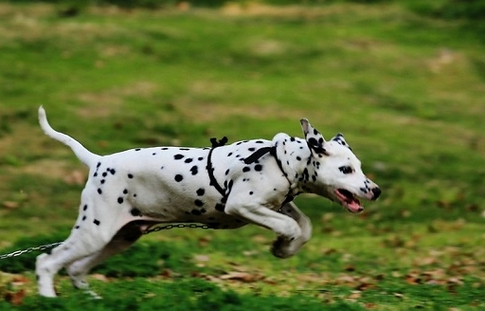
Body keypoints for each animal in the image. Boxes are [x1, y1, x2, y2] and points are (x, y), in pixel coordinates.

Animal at [36, 106, 380, 298]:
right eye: (346, 169)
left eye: (359, 166)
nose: (375, 190)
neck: (280, 160)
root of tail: (97, 161)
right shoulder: (243, 205)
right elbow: (290, 226)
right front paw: (282, 245)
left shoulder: (278, 205)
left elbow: (303, 226)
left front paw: (285, 248)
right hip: (95, 232)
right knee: (47, 262)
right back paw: (48, 299)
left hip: (121, 236)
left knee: (76, 268)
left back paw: (91, 300)